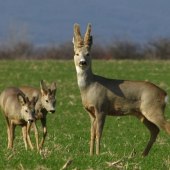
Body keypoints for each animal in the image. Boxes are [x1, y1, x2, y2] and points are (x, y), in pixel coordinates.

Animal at [72, 22, 170, 157]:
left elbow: (99, 132)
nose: (82, 62)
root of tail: (164, 93)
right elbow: (92, 133)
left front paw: (98, 154)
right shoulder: (90, 111)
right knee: (155, 130)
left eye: (88, 54)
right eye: (77, 53)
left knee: (166, 127)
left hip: (153, 108)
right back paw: (143, 155)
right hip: (140, 113)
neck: (90, 87)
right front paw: (90, 154)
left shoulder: (101, 107)